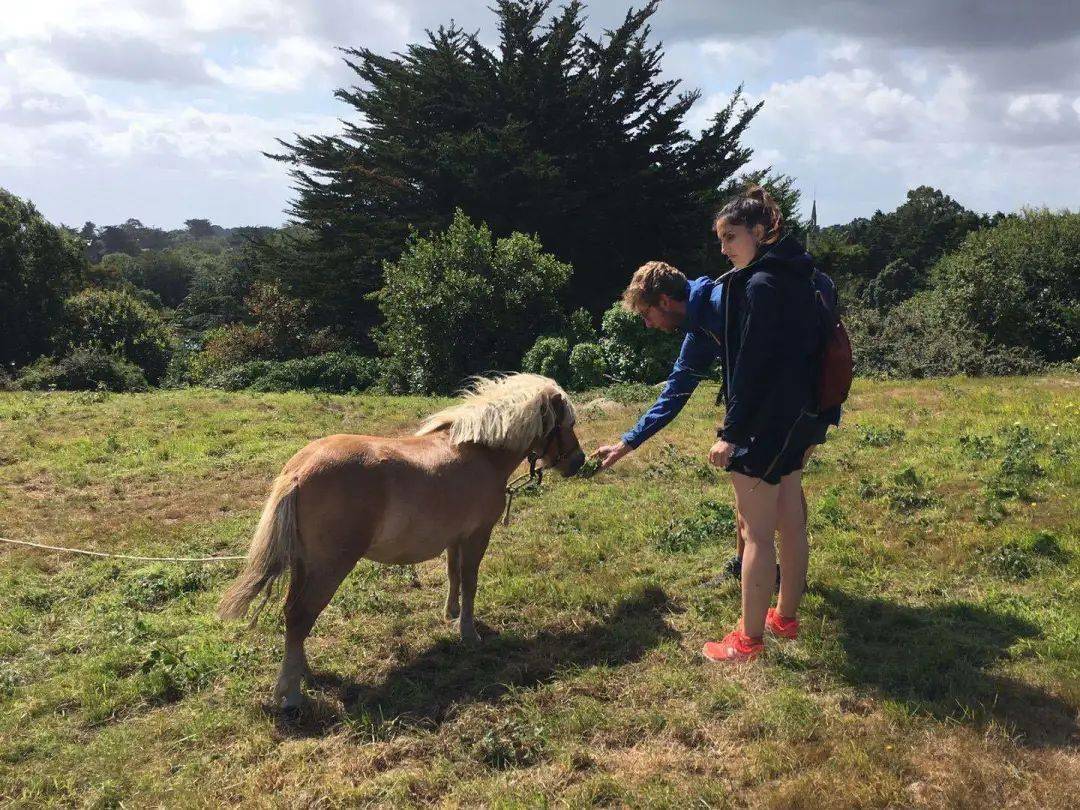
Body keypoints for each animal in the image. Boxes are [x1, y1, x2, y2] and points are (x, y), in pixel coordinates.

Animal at [216, 373, 586, 710]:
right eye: (567, 423)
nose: (579, 461)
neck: (479, 453)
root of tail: (298, 470)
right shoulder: (477, 535)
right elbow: (470, 581)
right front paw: (468, 632)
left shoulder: (455, 538)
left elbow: (453, 576)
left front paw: (450, 614)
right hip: (329, 568)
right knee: (299, 615)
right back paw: (291, 693)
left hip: (304, 566)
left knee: (294, 616)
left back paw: (303, 672)